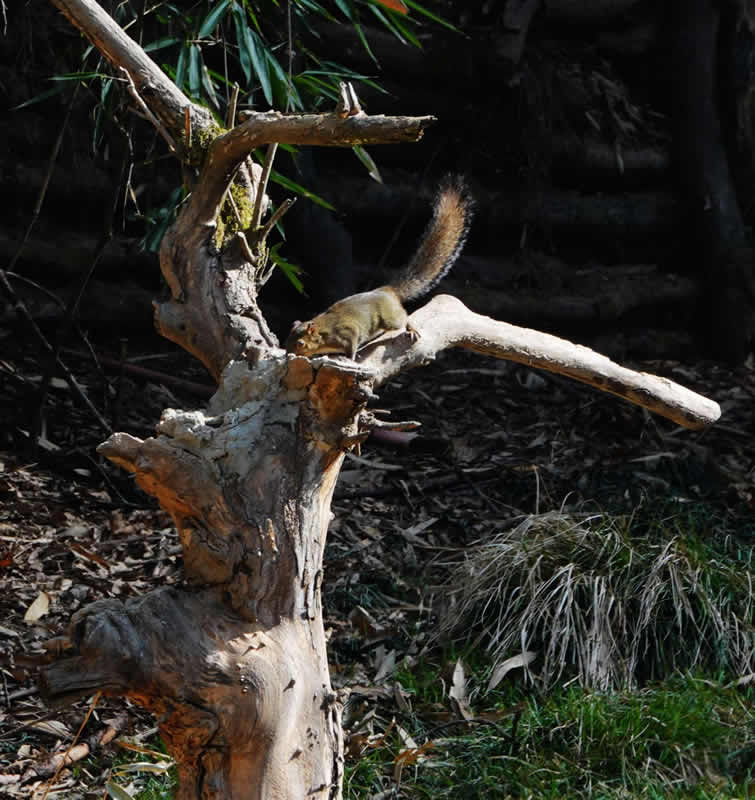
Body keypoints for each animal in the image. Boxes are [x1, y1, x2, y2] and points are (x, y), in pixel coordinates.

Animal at [286, 178, 476, 362]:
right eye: (287, 339)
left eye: (301, 343)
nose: (288, 354)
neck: (324, 330)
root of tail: (387, 290)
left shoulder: (347, 332)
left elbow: (351, 347)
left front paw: (348, 358)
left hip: (391, 319)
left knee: (404, 317)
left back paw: (411, 328)